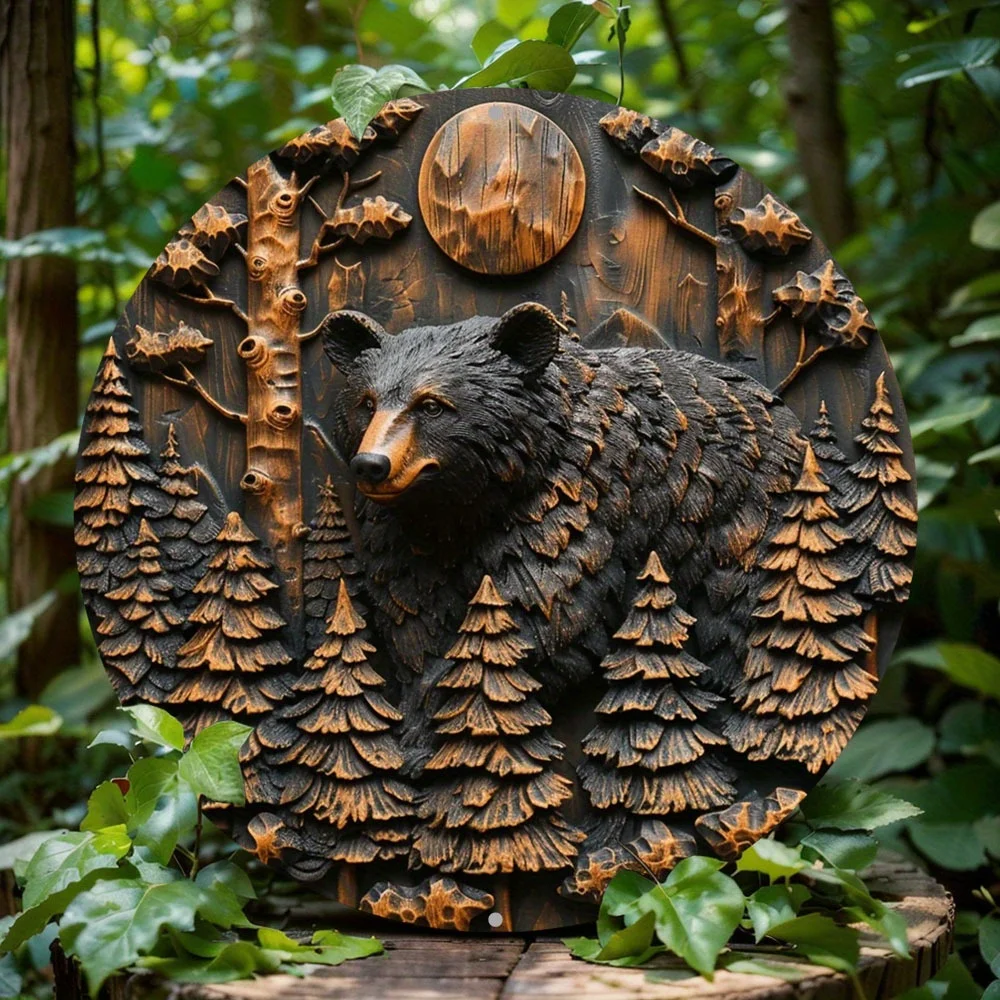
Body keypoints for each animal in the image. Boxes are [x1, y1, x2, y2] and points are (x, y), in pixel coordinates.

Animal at [320, 301, 806, 886]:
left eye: (432, 404)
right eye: (367, 401)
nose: (371, 465)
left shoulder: (573, 501)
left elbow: (543, 610)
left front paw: (430, 741)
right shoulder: (406, 541)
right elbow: (417, 621)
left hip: (736, 525)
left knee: (743, 629)